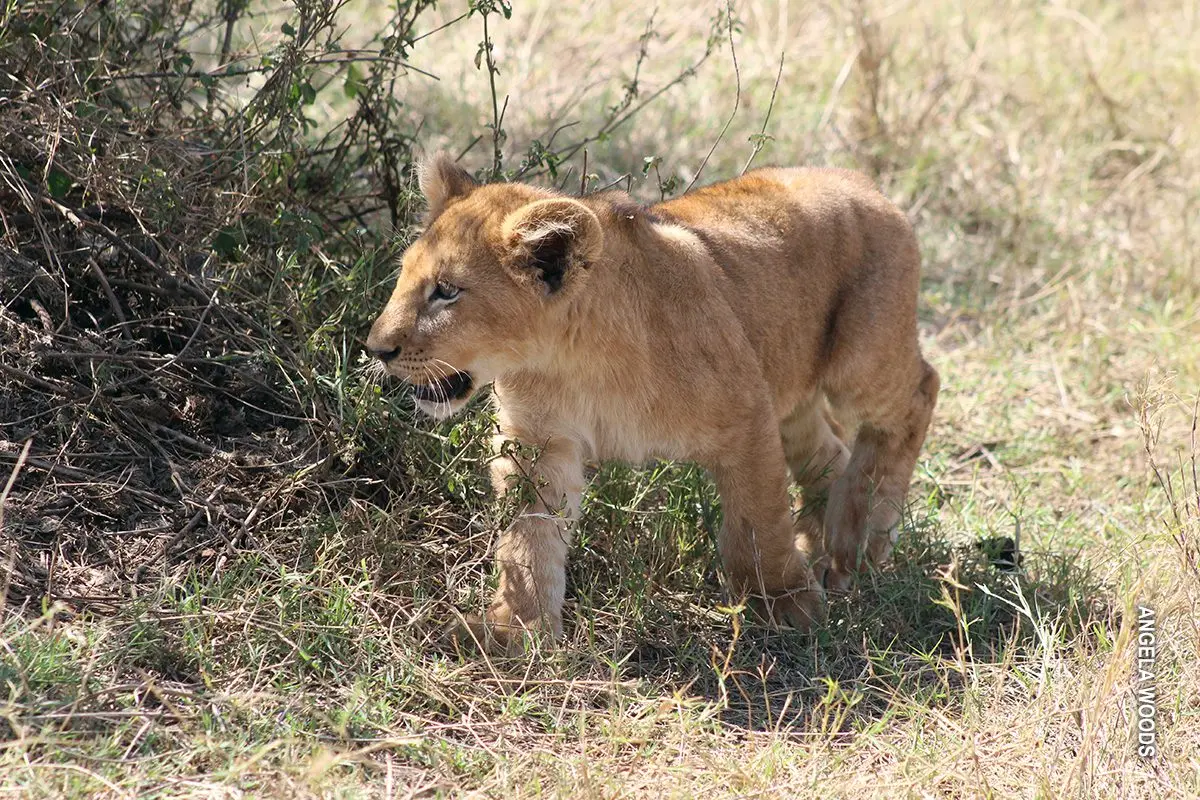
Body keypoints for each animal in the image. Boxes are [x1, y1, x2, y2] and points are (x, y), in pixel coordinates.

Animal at [366, 154, 939, 652]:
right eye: (404, 275)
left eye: (446, 291)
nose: (375, 349)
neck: (570, 357)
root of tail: (858, 180)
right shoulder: (540, 442)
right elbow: (528, 540)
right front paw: (516, 628)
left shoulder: (745, 414)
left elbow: (757, 524)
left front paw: (785, 603)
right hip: (790, 387)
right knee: (830, 454)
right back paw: (831, 545)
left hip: (860, 360)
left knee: (918, 395)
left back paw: (862, 540)